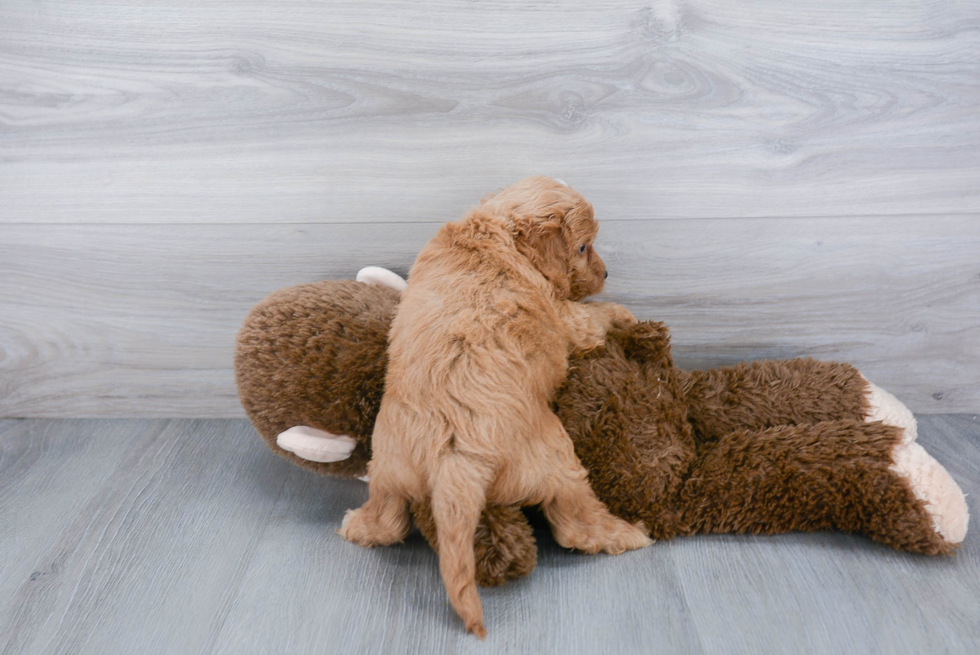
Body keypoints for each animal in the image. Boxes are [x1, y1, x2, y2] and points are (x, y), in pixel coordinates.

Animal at [336, 177, 652, 640]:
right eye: (583, 247)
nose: (607, 273)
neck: (495, 230)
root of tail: (452, 460)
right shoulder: (568, 318)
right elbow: (597, 315)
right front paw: (628, 315)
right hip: (557, 461)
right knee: (577, 525)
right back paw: (629, 534)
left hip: (388, 468)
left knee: (388, 519)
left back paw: (357, 525)